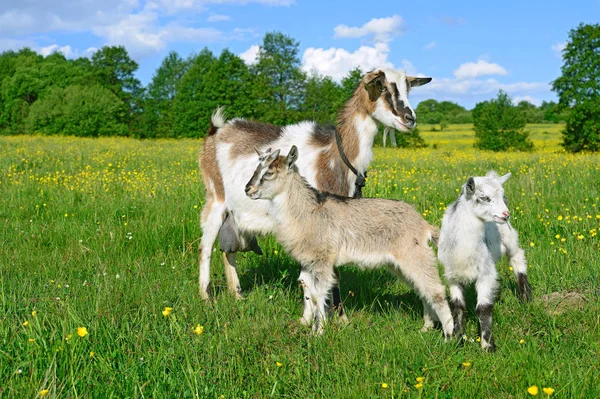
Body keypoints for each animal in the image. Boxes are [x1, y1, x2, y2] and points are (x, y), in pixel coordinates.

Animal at [200, 69, 432, 304]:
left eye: (407, 88)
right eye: (382, 87)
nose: (410, 119)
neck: (333, 154)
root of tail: (216, 131)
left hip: (235, 213)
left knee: (229, 250)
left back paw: (237, 294)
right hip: (216, 198)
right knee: (206, 246)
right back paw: (206, 296)